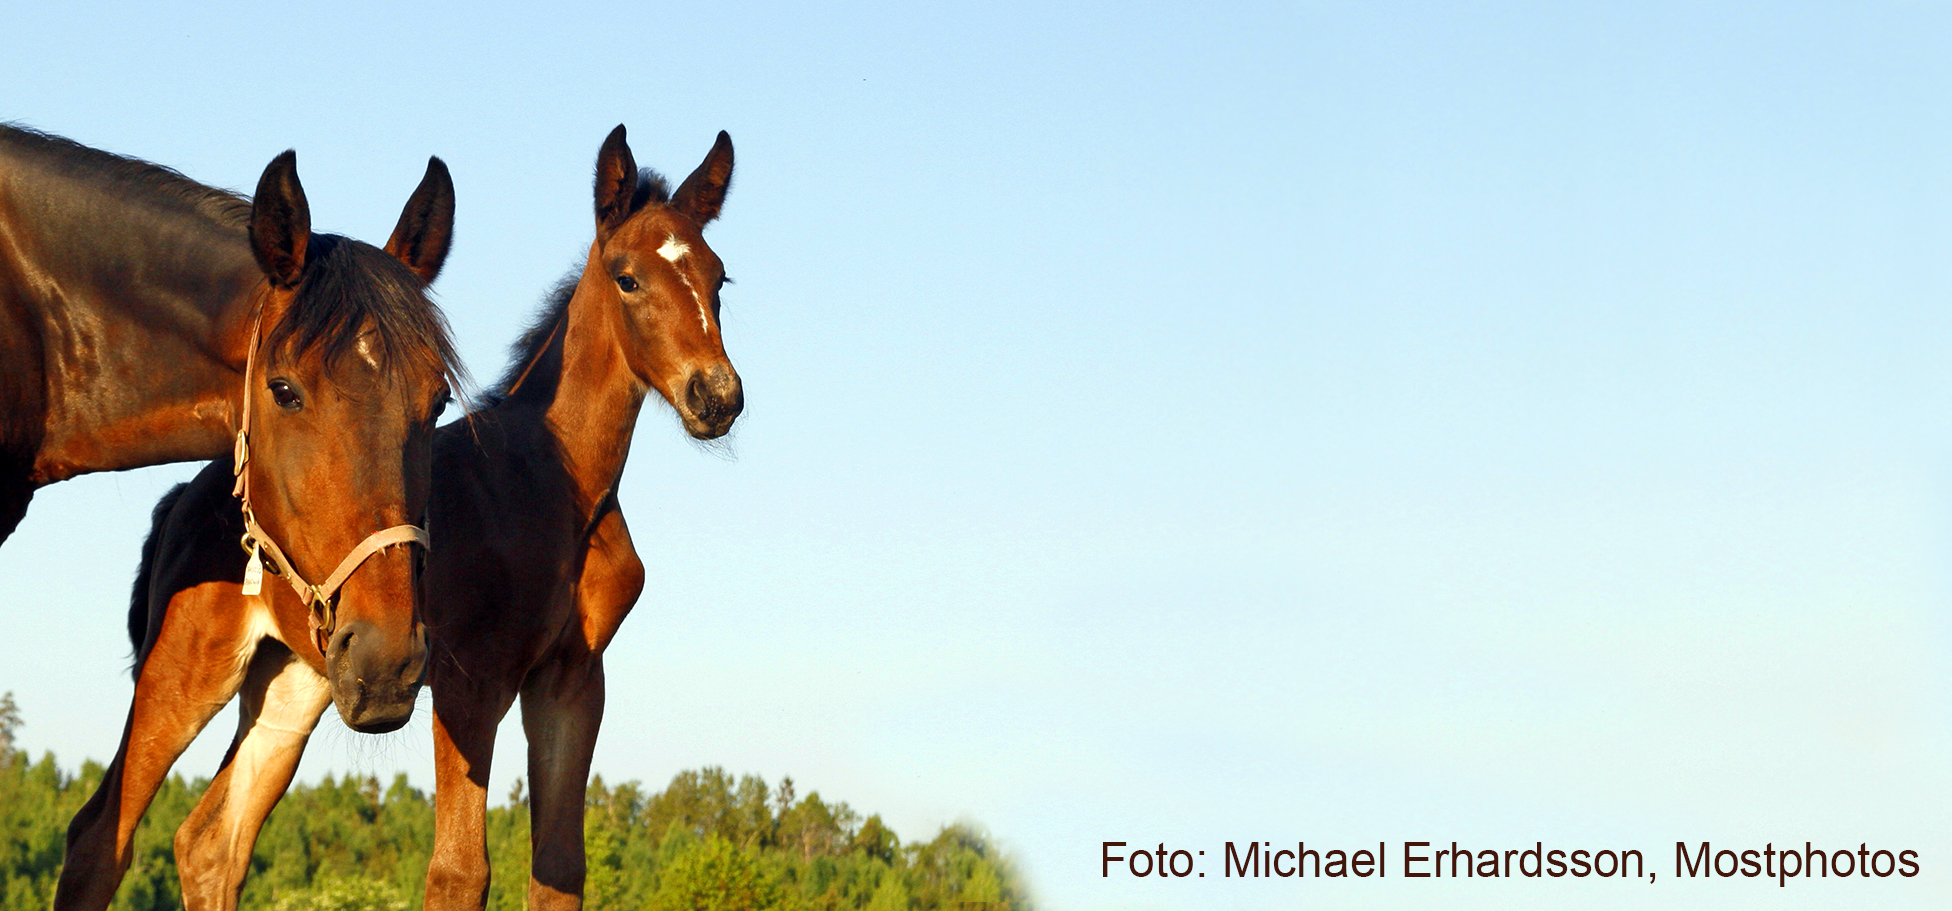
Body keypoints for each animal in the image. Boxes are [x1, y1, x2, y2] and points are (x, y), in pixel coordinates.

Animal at [110, 124, 741, 909]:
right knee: (102, 831)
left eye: (719, 279)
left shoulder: (572, 679)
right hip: (185, 667)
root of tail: (183, 501)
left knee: (209, 839)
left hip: (295, 680)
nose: (716, 395)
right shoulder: (471, 680)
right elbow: (460, 870)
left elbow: (559, 868)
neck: (553, 485)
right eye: (628, 278)